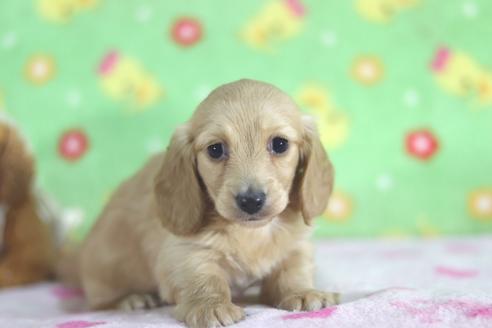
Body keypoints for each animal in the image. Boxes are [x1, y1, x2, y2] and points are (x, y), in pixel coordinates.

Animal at [75, 80, 336, 328]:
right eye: (215, 149)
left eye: (280, 144)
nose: (251, 201)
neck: (251, 233)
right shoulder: (186, 252)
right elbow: (204, 278)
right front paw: (211, 306)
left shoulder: (296, 245)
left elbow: (293, 270)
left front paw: (302, 292)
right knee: (99, 301)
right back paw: (132, 298)